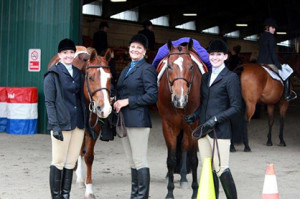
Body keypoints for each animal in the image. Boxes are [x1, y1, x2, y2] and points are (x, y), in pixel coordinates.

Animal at [157, 39, 206, 199]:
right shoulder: (167, 125)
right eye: (169, 66)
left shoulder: (193, 126)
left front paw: (195, 191)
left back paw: (184, 177)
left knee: (184, 147)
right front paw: (169, 192)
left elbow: (194, 159)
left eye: (191, 67)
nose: (180, 99)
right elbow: (171, 160)